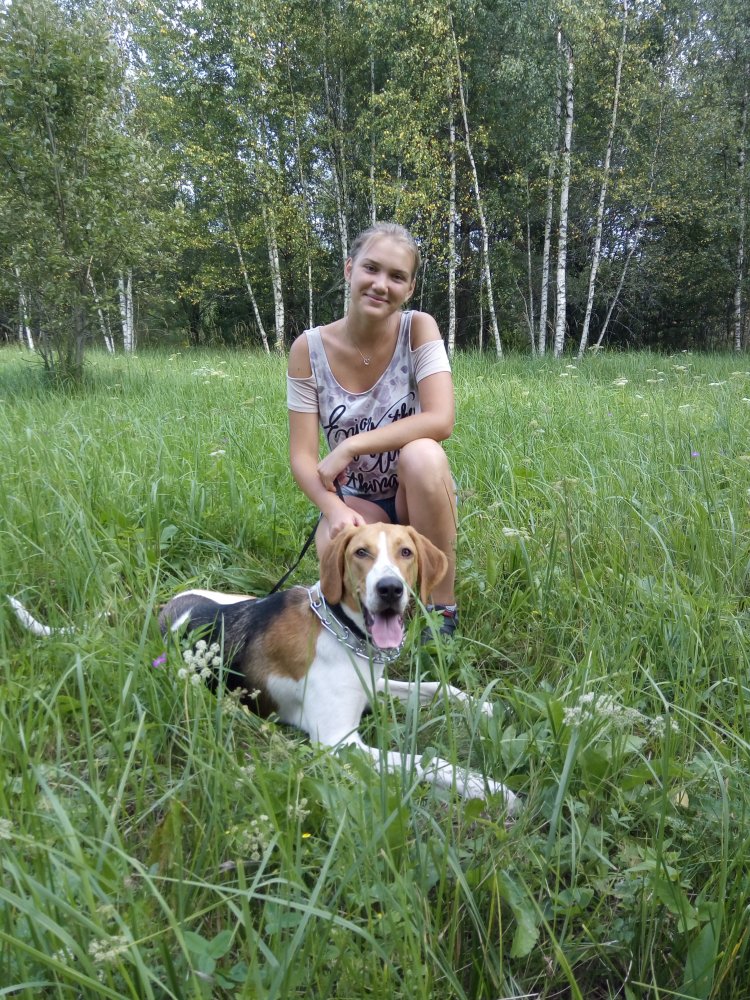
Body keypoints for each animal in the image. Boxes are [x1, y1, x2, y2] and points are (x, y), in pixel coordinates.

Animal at [158, 523, 519, 812]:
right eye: (361, 552)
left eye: (405, 552)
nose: (390, 588)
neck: (341, 628)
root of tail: (170, 608)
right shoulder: (338, 743)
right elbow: (422, 761)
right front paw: (486, 787)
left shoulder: (373, 686)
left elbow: (438, 687)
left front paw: (483, 706)